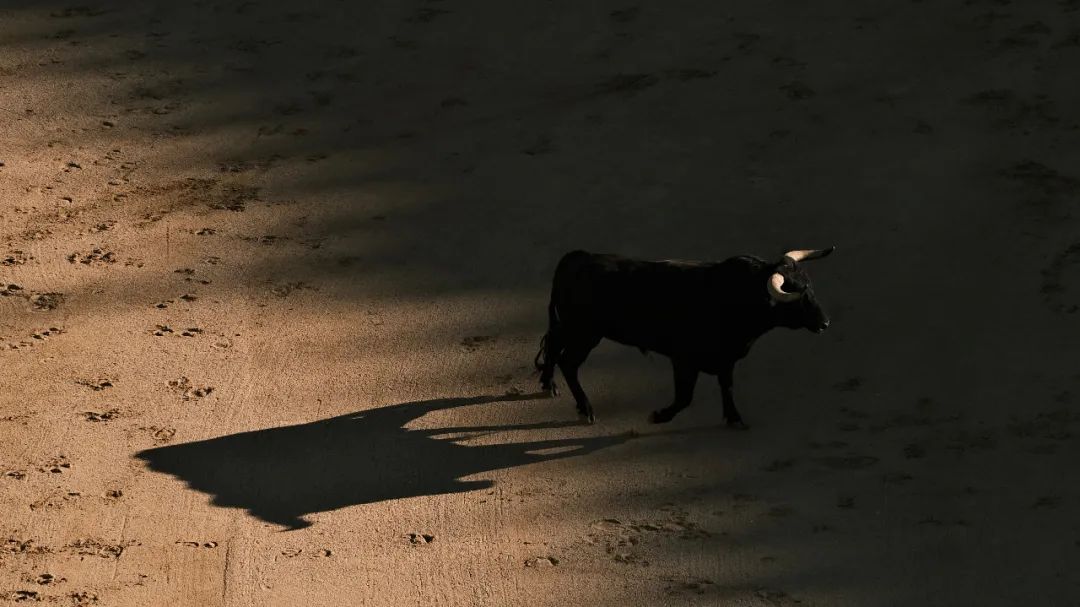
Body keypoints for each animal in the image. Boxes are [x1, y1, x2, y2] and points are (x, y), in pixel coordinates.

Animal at [533, 247, 833, 425]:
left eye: (812, 288)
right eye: (798, 298)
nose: (825, 323)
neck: (739, 295)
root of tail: (575, 257)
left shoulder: (726, 359)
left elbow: (727, 387)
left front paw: (734, 418)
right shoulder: (683, 360)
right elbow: (685, 397)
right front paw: (659, 415)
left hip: (571, 328)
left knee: (554, 347)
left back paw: (549, 384)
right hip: (584, 334)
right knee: (568, 362)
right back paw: (586, 409)